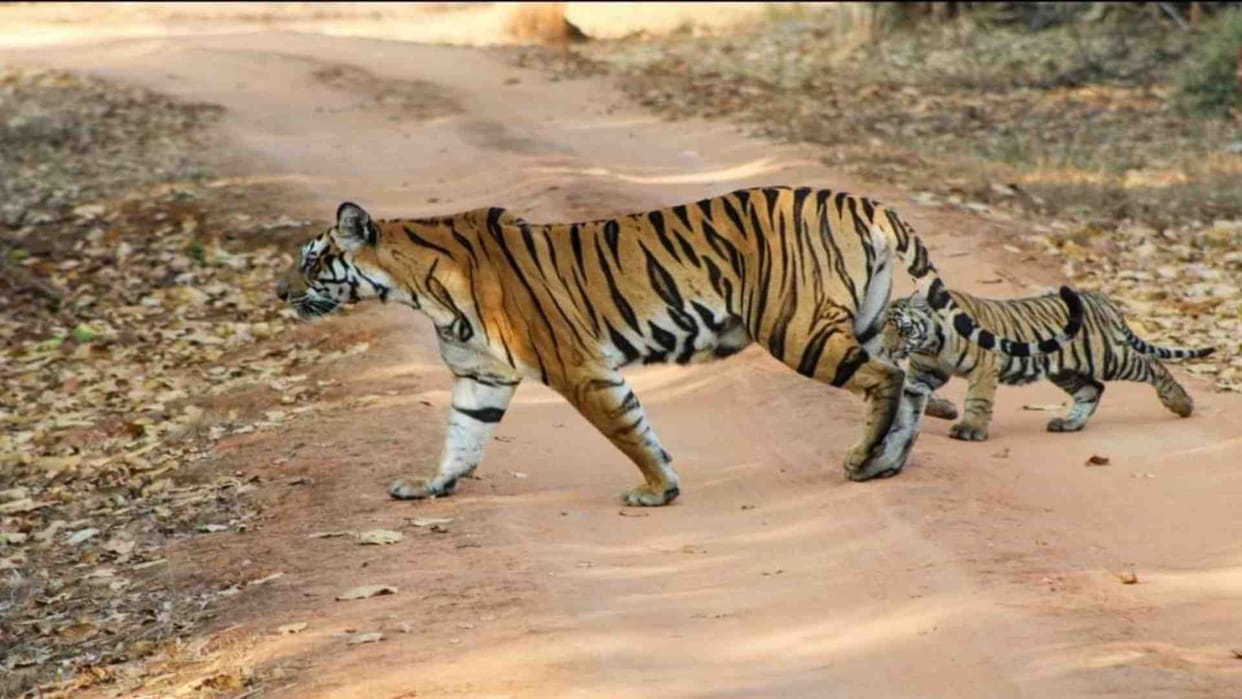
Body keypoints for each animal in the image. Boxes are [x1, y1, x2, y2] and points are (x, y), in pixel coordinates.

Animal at [275, 186, 1084, 506]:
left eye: (313, 260)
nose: (277, 294)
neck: (415, 286)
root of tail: (861, 199)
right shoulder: (482, 378)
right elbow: (460, 439)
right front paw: (430, 486)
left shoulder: (581, 369)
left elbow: (628, 429)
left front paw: (657, 489)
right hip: (862, 317)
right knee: (911, 381)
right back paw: (887, 463)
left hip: (798, 328)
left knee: (886, 380)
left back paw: (862, 459)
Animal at [883, 287, 1214, 441]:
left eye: (903, 329)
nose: (887, 349)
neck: (931, 343)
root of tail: (1101, 297)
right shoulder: (926, 370)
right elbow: (914, 387)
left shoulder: (984, 367)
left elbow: (978, 401)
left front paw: (970, 429)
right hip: (1066, 370)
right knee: (1092, 390)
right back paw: (1069, 423)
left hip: (1108, 357)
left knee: (1151, 364)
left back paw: (1181, 404)